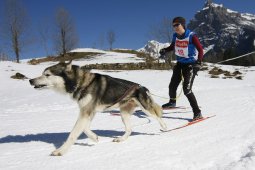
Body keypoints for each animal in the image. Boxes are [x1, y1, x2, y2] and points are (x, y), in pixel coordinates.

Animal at [29, 61, 167, 155]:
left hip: (145, 109)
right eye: (43, 74)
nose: (30, 80)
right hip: (124, 113)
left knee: (158, 116)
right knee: (129, 129)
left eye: (47, 74)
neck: (81, 83)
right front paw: (94, 137)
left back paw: (165, 128)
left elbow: (73, 133)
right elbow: (85, 128)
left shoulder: (86, 111)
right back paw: (121, 139)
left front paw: (61, 150)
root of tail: (142, 87)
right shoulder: (89, 111)